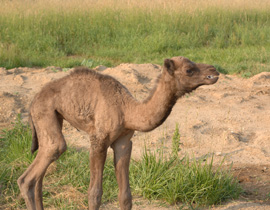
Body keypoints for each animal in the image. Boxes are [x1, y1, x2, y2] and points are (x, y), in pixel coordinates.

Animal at [17, 56, 219, 209]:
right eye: (189, 70)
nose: (214, 70)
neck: (127, 111)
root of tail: (33, 100)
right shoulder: (98, 140)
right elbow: (95, 194)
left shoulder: (124, 141)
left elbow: (126, 196)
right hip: (45, 112)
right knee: (38, 168)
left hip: (51, 117)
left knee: (39, 177)